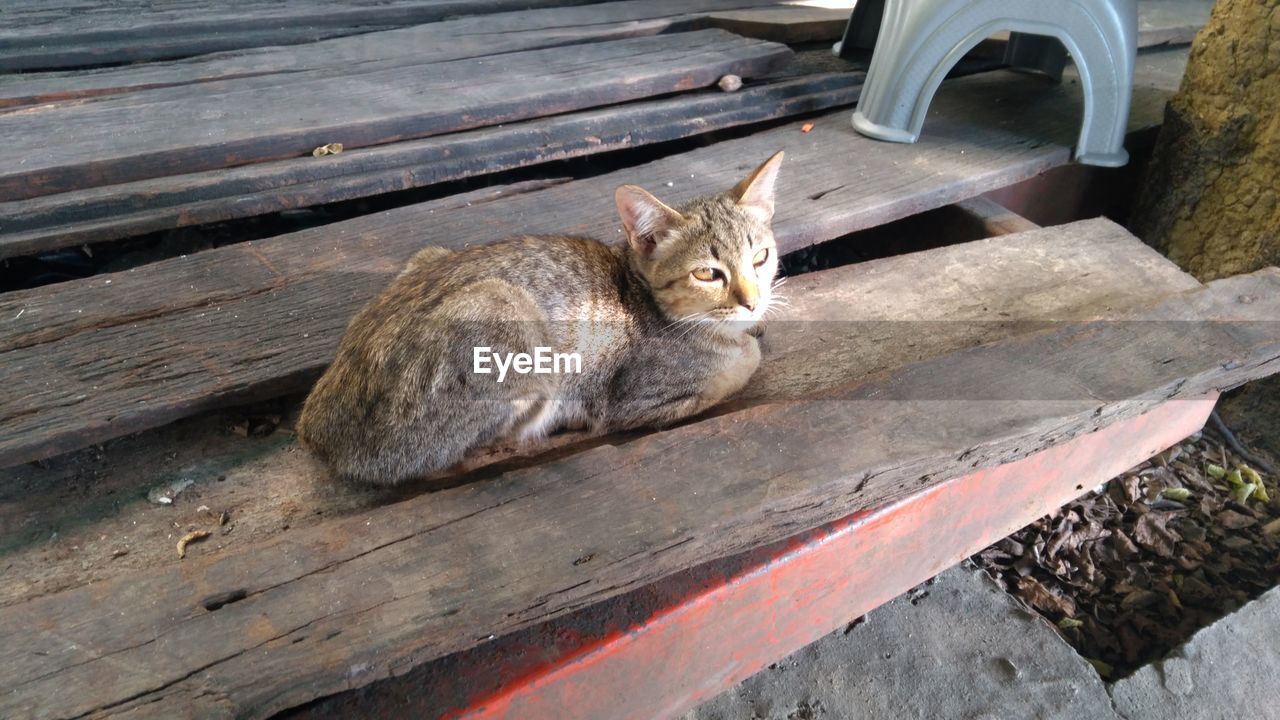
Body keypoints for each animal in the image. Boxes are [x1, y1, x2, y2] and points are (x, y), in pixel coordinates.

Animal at [295, 149, 783, 481]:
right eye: (706, 273)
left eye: (760, 257)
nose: (751, 300)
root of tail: (315, 427)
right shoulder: (634, 401)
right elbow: (741, 363)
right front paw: (745, 344)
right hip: (512, 323)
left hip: (430, 258)